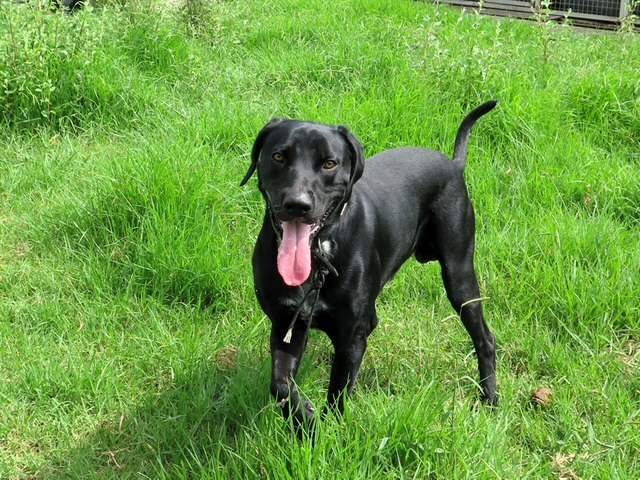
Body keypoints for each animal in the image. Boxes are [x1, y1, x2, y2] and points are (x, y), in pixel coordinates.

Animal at [241, 100, 498, 430]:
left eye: (329, 164)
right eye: (278, 156)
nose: (297, 205)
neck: (319, 254)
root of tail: (454, 166)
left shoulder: (350, 336)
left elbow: (338, 396)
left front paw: (329, 432)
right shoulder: (287, 324)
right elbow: (280, 386)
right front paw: (305, 420)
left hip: (459, 275)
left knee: (485, 338)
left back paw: (490, 397)